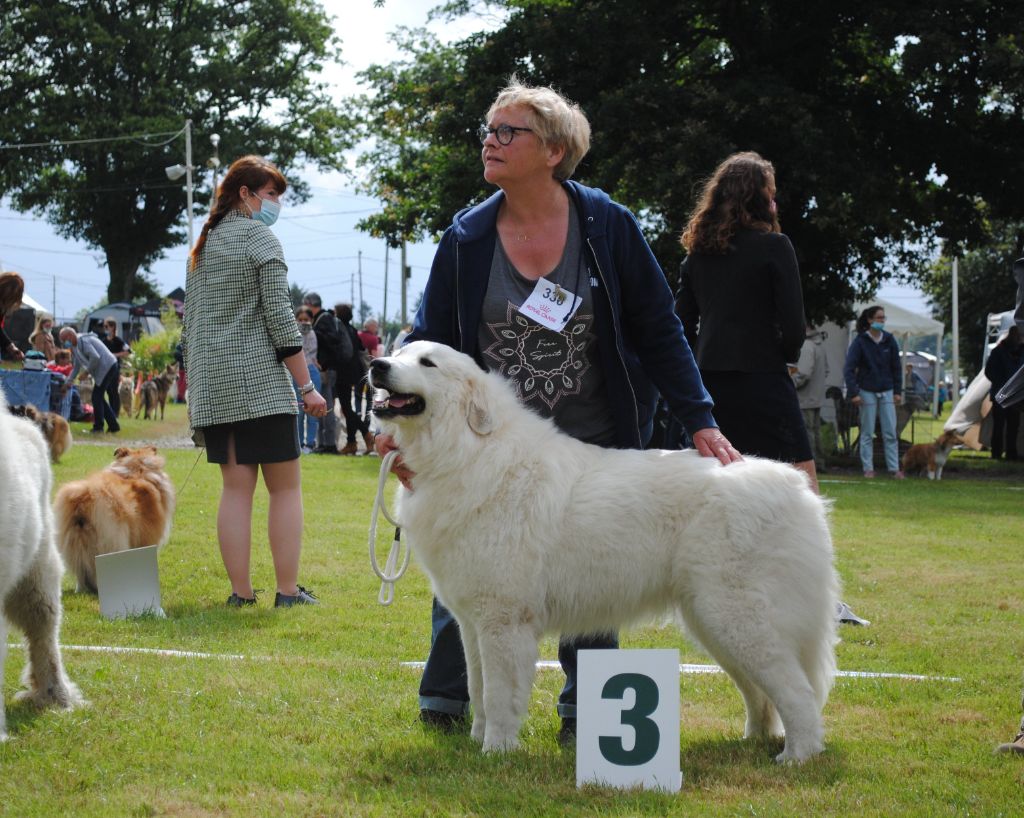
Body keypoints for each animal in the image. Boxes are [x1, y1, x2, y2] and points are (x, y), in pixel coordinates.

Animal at [372, 341, 835, 765]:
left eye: (427, 363)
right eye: (397, 351)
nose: (377, 365)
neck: (468, 450)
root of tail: (796, 487)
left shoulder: (503, 621)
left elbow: (501, 695)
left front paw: (496, 752)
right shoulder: (472, 623)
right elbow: (478, 688)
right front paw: (477, 743)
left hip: (738, 617)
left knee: (798, 692)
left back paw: (798, 757)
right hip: (714, 624)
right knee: (761, 693)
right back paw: (753, 741)